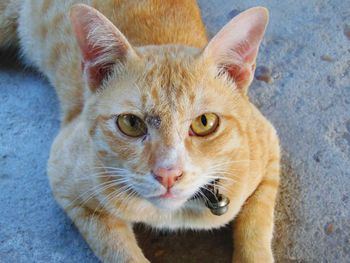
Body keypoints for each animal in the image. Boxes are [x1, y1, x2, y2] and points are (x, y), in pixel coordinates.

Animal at [0, 0, 278, 263]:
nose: (168, 174)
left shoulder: (269, 147)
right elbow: (118, 251)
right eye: (131, 123)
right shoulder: (67, 183)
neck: (172, 214)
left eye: (204, 122)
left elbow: (255, 227)